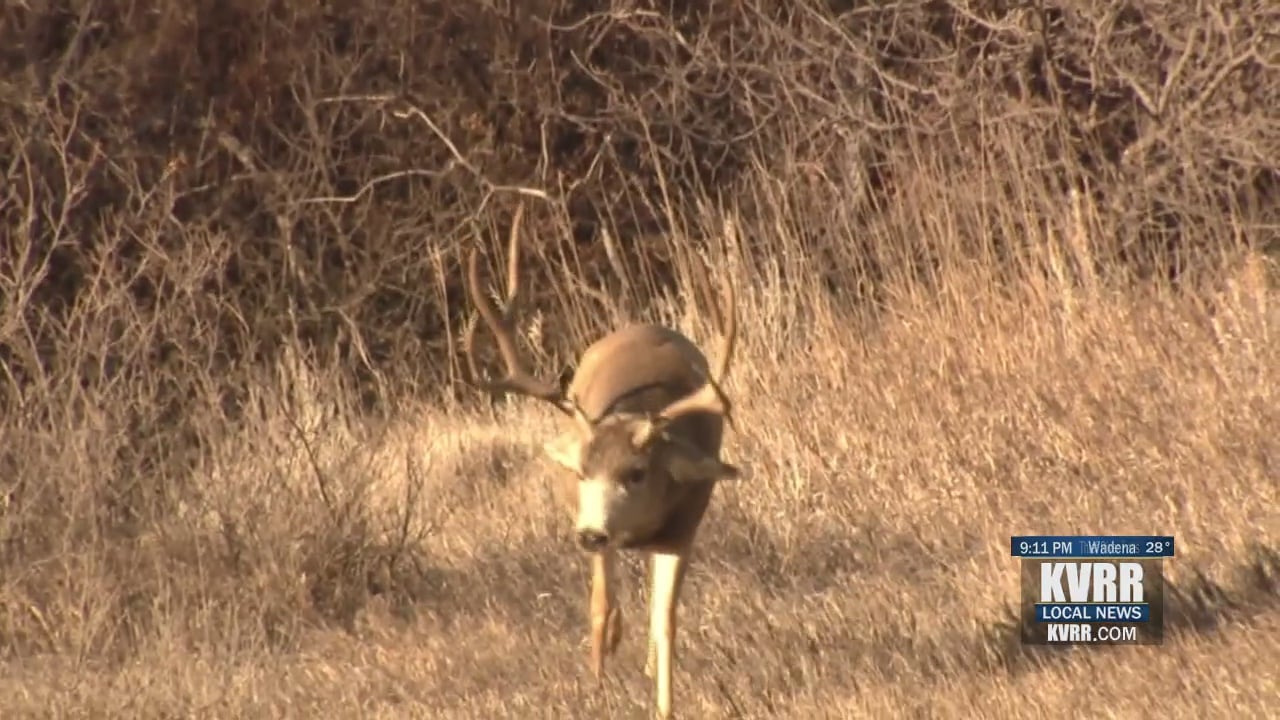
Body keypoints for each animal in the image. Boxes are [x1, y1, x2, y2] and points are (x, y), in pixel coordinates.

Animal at [460, 204, 742, 712]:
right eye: (580, 471)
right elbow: (600, 610)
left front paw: (664, 706)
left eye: (638, 472)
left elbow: (666, 622)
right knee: (606, 604)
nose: (590, 533)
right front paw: (596, 691)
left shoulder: (683, 527)